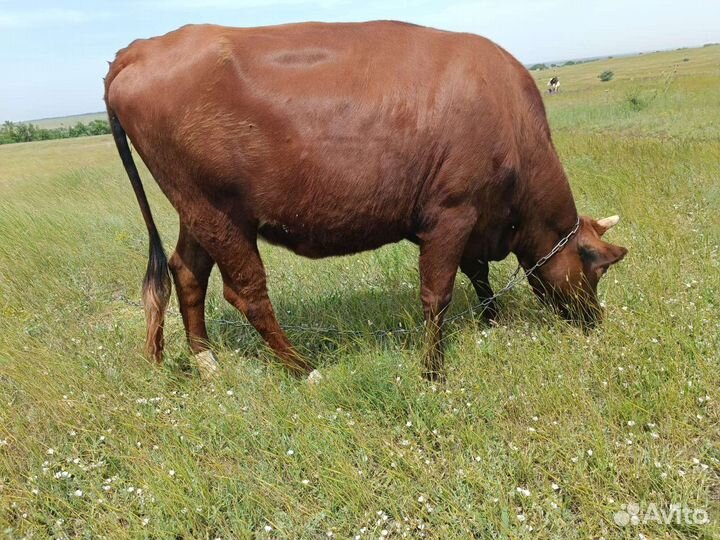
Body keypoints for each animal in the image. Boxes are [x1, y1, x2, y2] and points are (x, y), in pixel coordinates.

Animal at [104, 21, 627, 381]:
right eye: (597, 267)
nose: (595, 321)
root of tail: (142, 48)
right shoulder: (451, 213)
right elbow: (437, 294)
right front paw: (432, 371)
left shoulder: (474, 221)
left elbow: (477, 274)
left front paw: (490, 322)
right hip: (220, 214)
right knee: (247, 293)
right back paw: (304, 369)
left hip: (198, 210)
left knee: (187, 272)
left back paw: (207, 363)